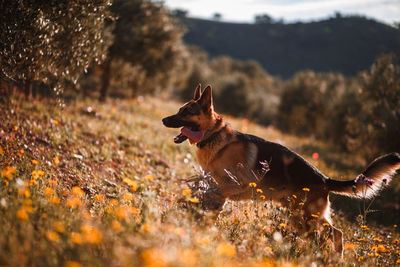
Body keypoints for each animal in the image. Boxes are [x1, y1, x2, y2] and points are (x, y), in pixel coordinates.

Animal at [162, 85, 400, 254]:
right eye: (179, 110)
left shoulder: (230, 186)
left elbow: (213, 201)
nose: (164, 119)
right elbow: (207, 203)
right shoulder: (215, 187)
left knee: (329, 235)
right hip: (302, 216)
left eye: (186, 112)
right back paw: (332, 258)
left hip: (305, 217)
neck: (213, 136)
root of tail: (324, 178)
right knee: (335, 233)